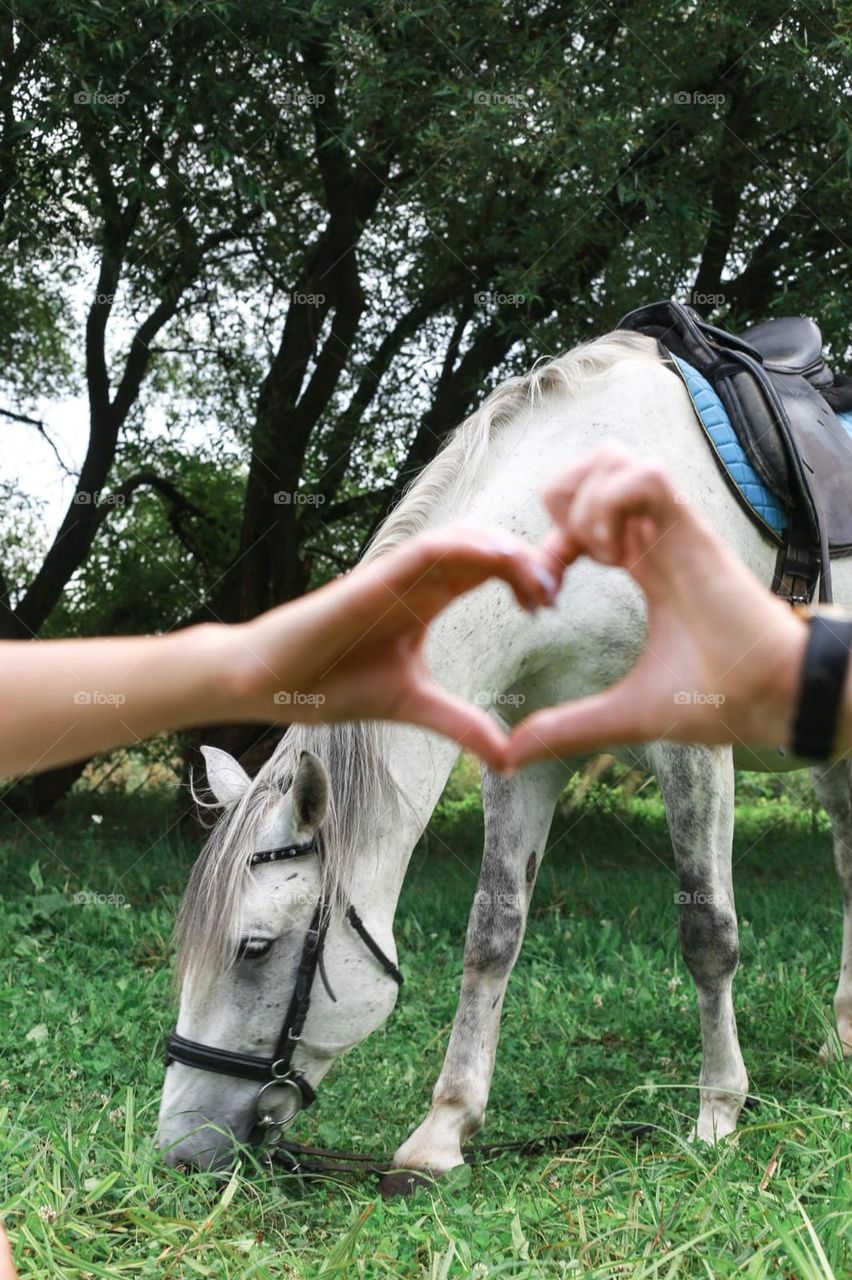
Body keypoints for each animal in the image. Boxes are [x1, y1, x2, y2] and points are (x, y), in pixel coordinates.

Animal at [159, 332, 849, 1177]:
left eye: (255, 949)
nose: (178, 1149)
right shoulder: (524, 750)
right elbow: (492, 933)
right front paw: (445, 1129)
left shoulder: (693, 748)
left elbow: (708, 934)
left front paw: (719, 1109)